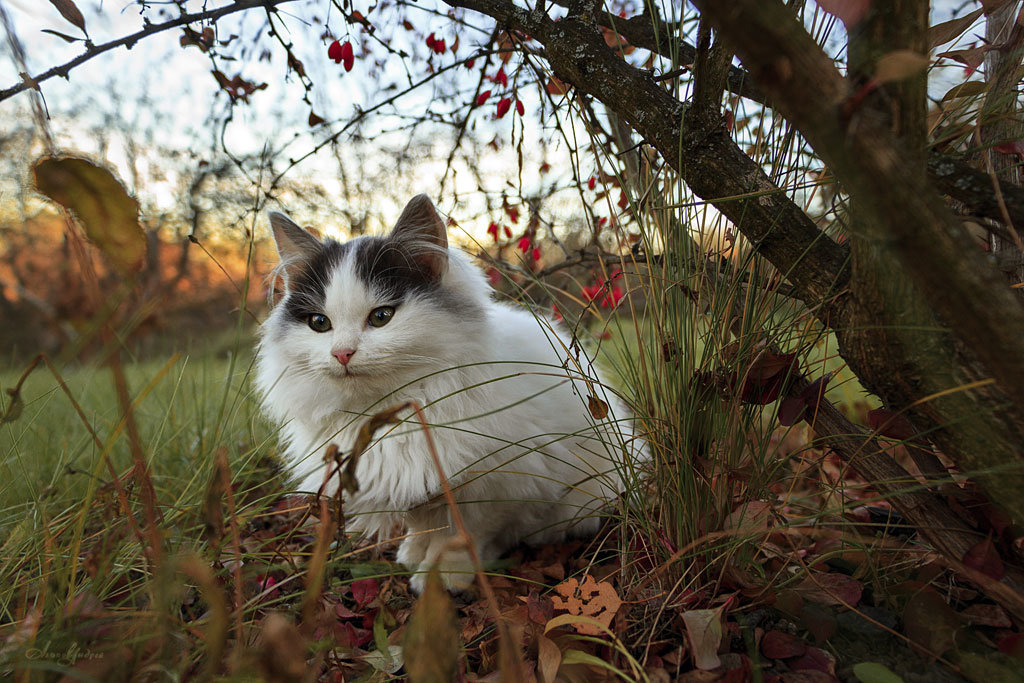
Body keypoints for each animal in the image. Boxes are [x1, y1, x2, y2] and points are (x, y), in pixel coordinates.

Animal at [256, 193, 638, 593]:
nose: (342, 353)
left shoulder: (494, 483)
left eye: (381, 317)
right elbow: (424, 526)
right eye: (319, 323)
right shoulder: (415, 483)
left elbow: (461, 533)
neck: (387, 413)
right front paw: (413, 554)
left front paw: (444, 577)